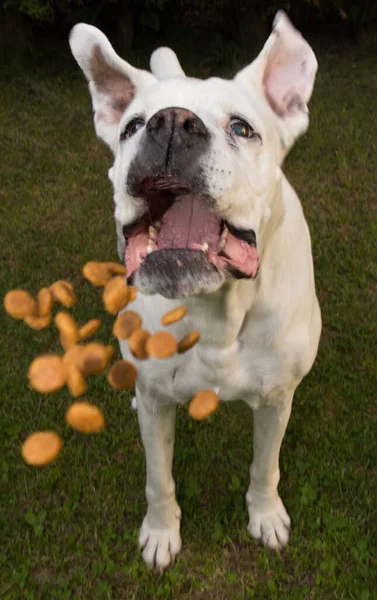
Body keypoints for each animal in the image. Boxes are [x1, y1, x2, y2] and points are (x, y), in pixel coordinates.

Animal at [70, 11, 320, 568]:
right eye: (132, 126)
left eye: (242, 127)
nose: (170, 123)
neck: (217, 310)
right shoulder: (160, 405)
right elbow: (158, 478)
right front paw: (161, 532)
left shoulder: (276, 400)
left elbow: (265, 467)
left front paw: (265, 516)